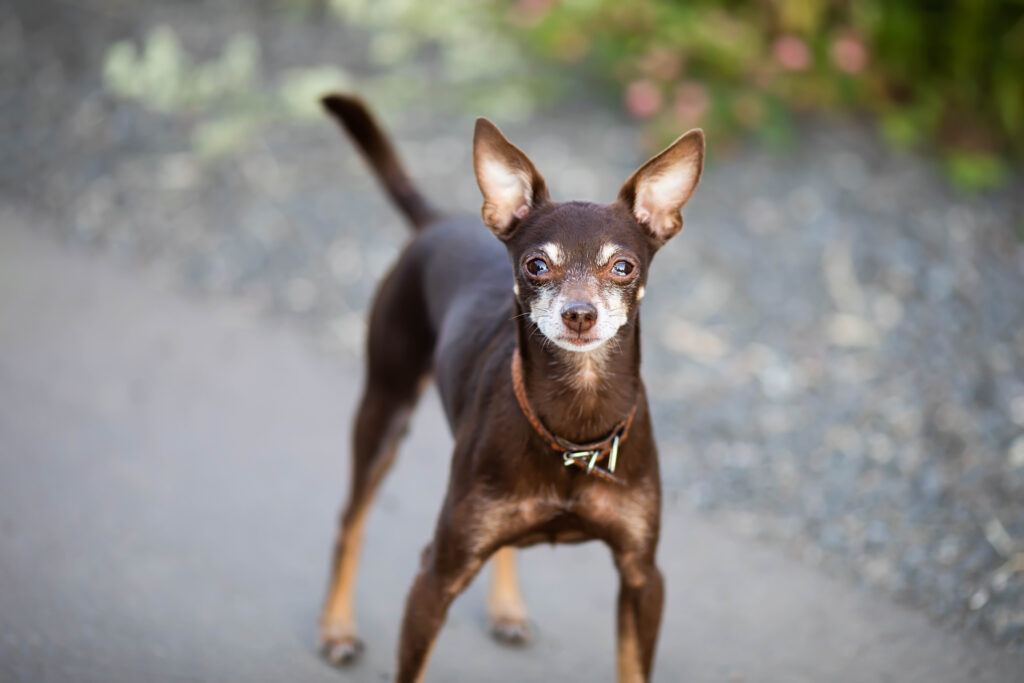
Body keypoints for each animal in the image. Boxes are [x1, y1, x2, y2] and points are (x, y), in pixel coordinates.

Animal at [319, 92, 704, 683]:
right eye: (536, 264)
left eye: (623, 267)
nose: (579, 314)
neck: (576, 423)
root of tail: (436, 222)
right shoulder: (437, 575)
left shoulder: (643, 577)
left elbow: (632, 666)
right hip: (385, 406)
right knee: (350, 521)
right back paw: (336, 628)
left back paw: (505, 608)